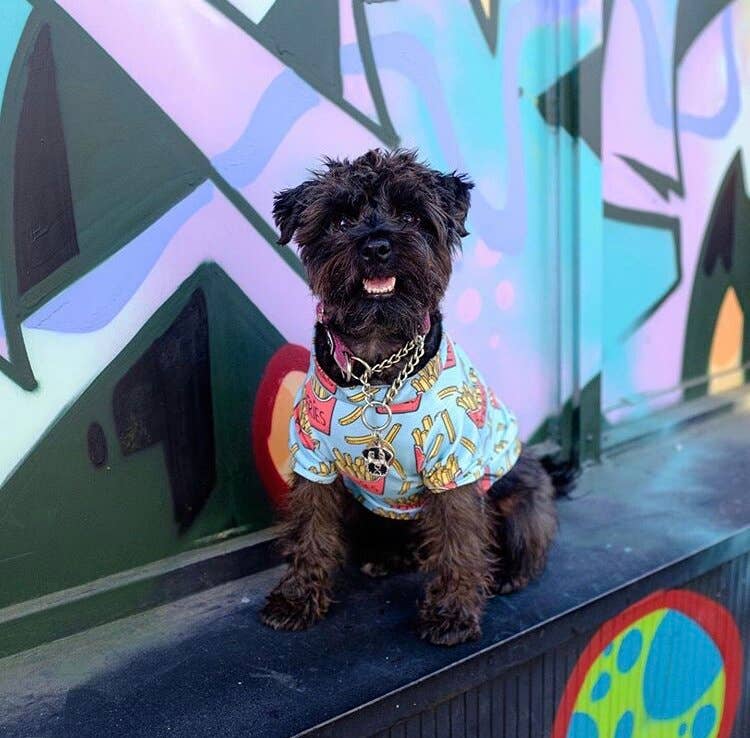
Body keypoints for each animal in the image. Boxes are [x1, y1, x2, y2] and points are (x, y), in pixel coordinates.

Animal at [262, 150, 568, 644]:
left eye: (410, 215)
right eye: (340, 220)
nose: (377, 246)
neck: (377, 365)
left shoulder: (453, 468)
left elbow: (460, 542)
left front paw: (452, 613)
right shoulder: (314, 462)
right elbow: (310, 531)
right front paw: (297, 598)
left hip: (521, 498)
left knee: (528, 543)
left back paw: (508, 573)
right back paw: (389, 556)